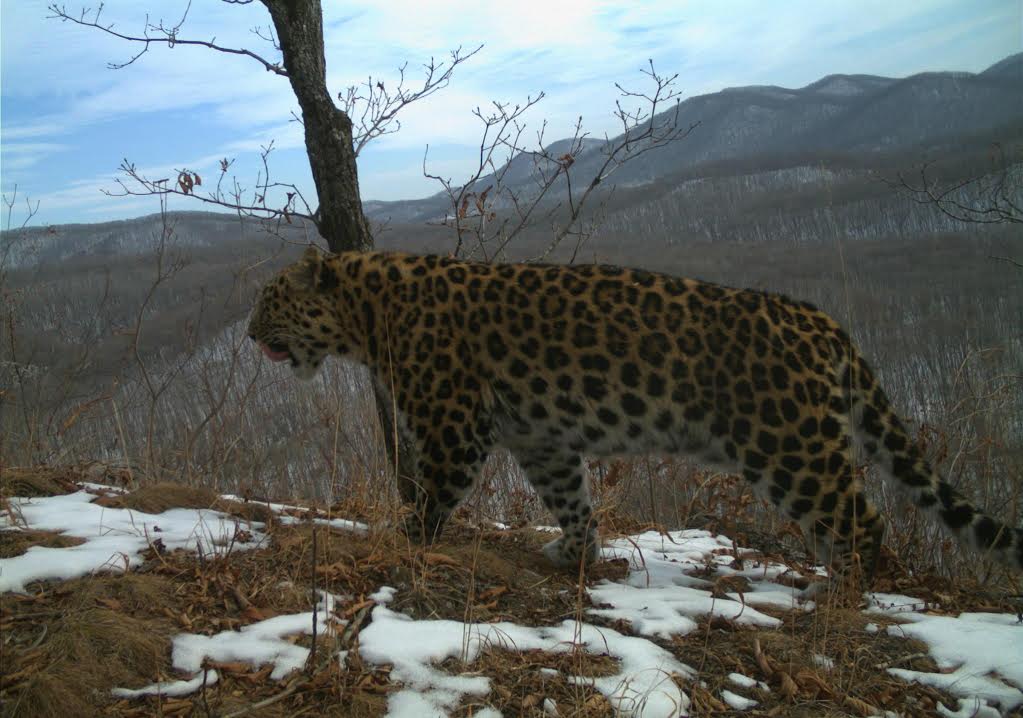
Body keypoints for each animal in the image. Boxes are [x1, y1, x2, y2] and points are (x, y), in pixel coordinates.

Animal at [249, 247, 1023, 580]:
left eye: (269, 299)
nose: (251, 333)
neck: (367, 315)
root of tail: (820, 319)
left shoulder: (451, 425)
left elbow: (431, 495)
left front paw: (402, 541)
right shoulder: (541, 438)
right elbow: (570, 498)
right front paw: (578, 553)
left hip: (790, 446)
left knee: (862, 522)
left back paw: (847, 595)